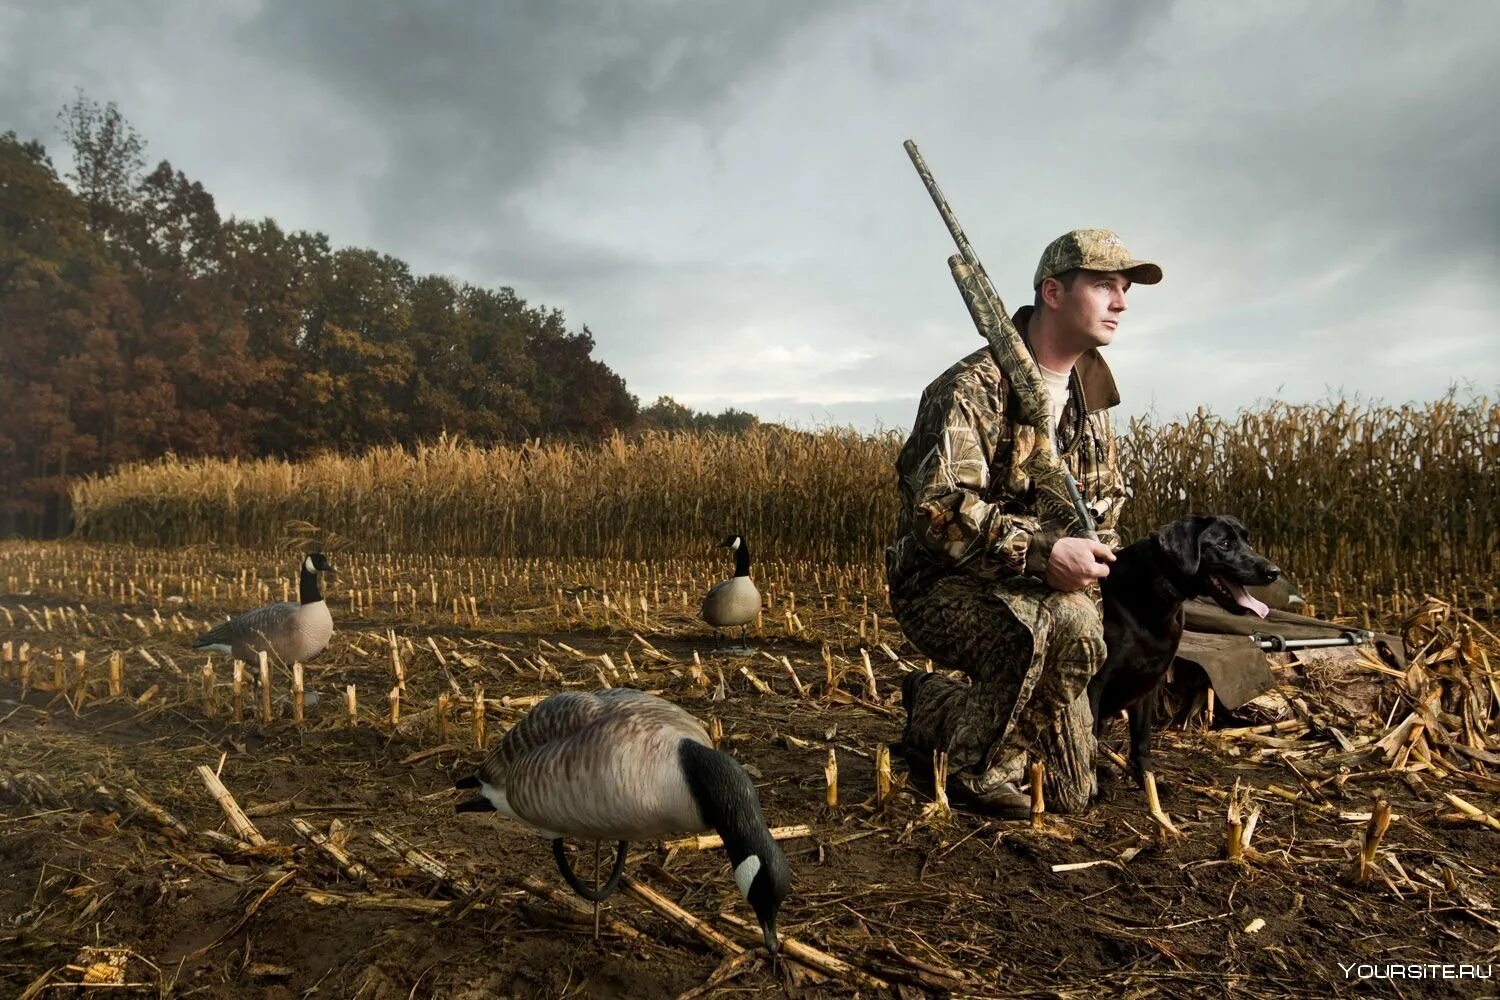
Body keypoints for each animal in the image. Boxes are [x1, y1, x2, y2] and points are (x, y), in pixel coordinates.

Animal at [1086, 515, 1284, 791]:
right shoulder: (1096, 681)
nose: (1274, 572)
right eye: (1224, 544)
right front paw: (1091, 791)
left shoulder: (1149, 682)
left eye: (1248, 541)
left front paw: (1149, 783)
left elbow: (1142, 740)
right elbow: (1088, 738)